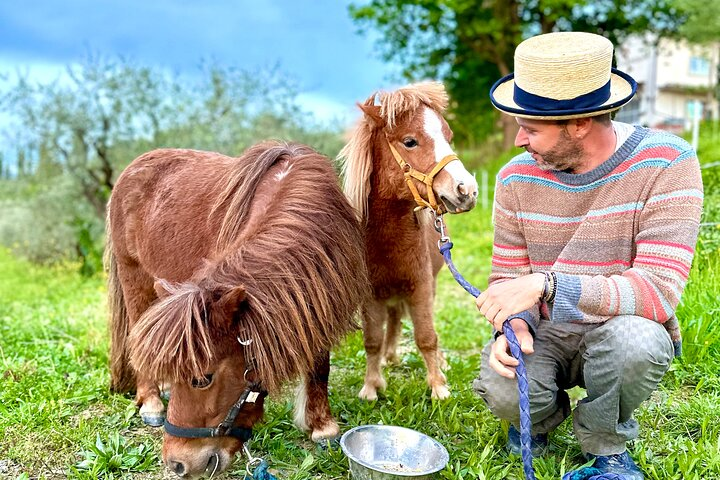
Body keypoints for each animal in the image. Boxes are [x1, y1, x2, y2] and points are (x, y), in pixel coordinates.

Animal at [106, 141, 369, 477]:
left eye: (202, 379)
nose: (177, 464)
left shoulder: (316, 303)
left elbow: (320, 366)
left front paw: (323, 427)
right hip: (134, 278)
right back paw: (151, 403)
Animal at [339, 81, 478, 401]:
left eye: (449, 138)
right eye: (410, 141)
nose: (467, 190)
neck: (385, 239)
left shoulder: (421, 285)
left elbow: (427, 336)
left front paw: (438, 386)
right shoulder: (370, 296)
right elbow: (372, 340)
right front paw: (371, 386)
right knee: (392, 320)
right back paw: (389, 357)